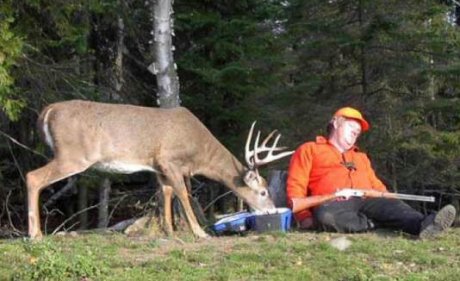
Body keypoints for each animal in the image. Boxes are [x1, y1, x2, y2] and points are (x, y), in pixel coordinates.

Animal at [26, 99, 292, 238]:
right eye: (263, 191)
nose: (271, 210)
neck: (198, 153)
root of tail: (47, 111)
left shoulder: (159, 168)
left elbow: (166, 194)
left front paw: (170, 231)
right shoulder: (169, 160)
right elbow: (184, 194)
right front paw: (199, 232)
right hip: (73, 155)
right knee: (32, 177)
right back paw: (35, 234)